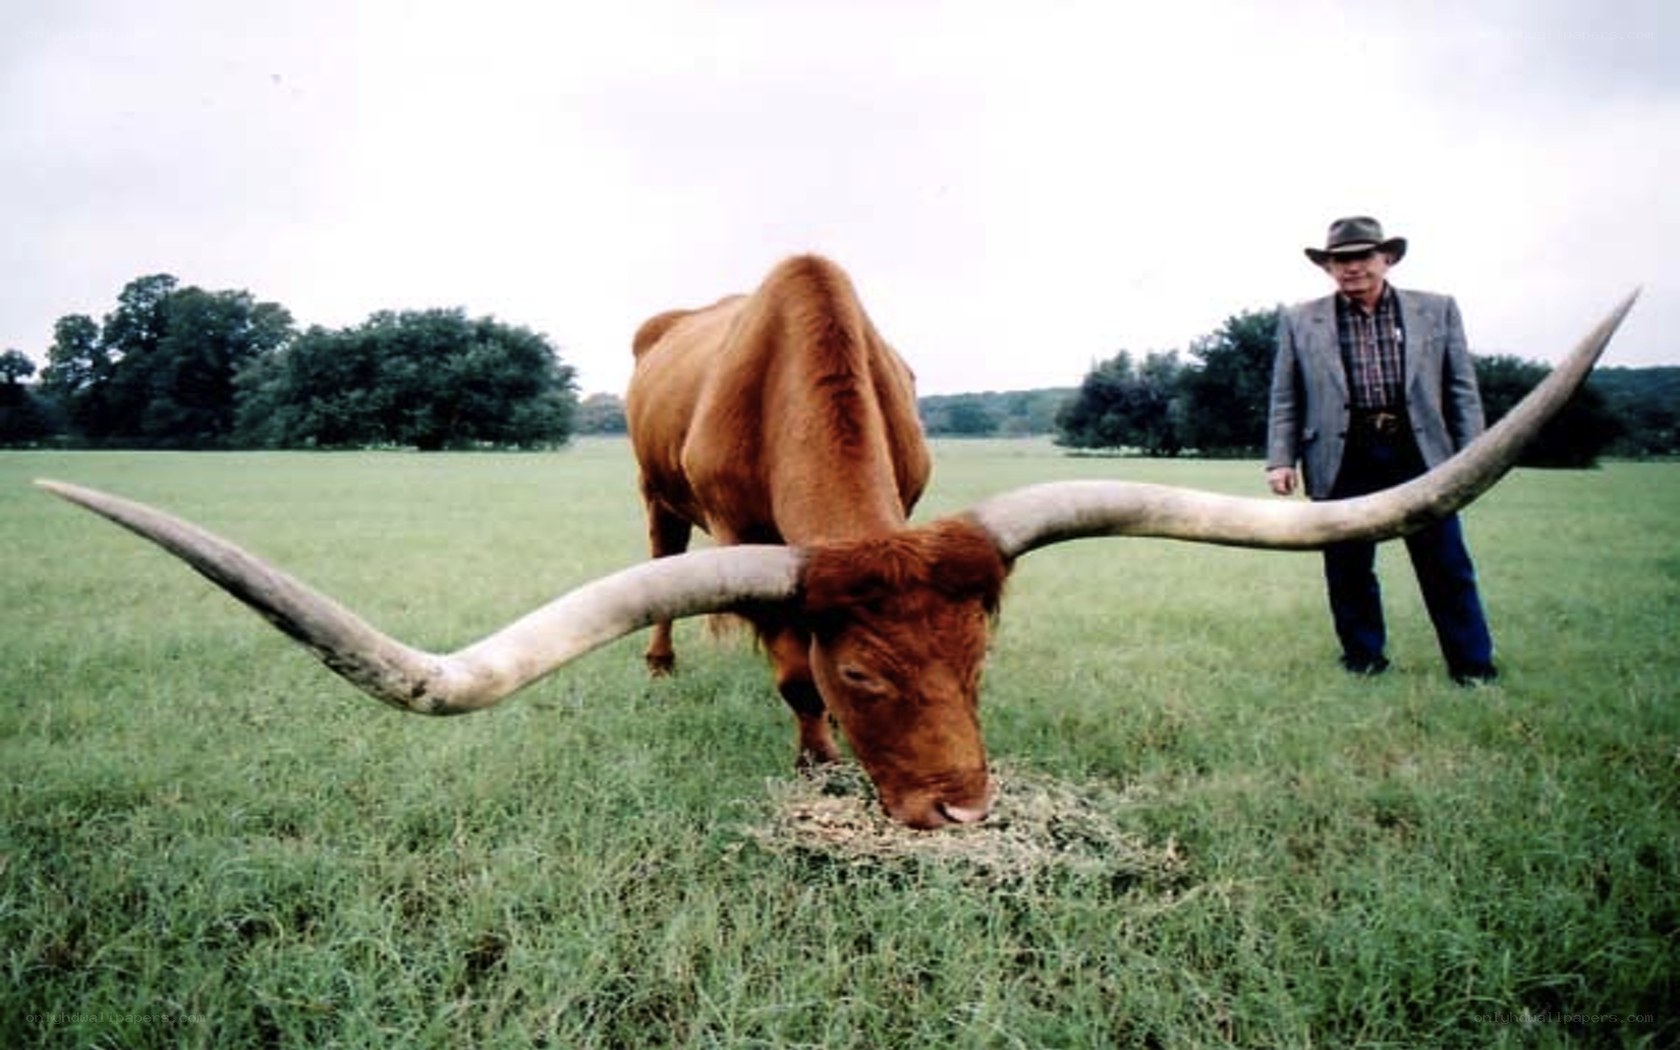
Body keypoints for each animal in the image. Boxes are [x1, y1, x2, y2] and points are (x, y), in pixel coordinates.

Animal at [35, 262, 1637, 829]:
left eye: (984, 659)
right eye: (871, 678)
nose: (963, 814)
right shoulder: (754, 543)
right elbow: (783, 659)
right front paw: (808, 751)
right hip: (654, 500)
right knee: (669, 569)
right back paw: (671, 662)